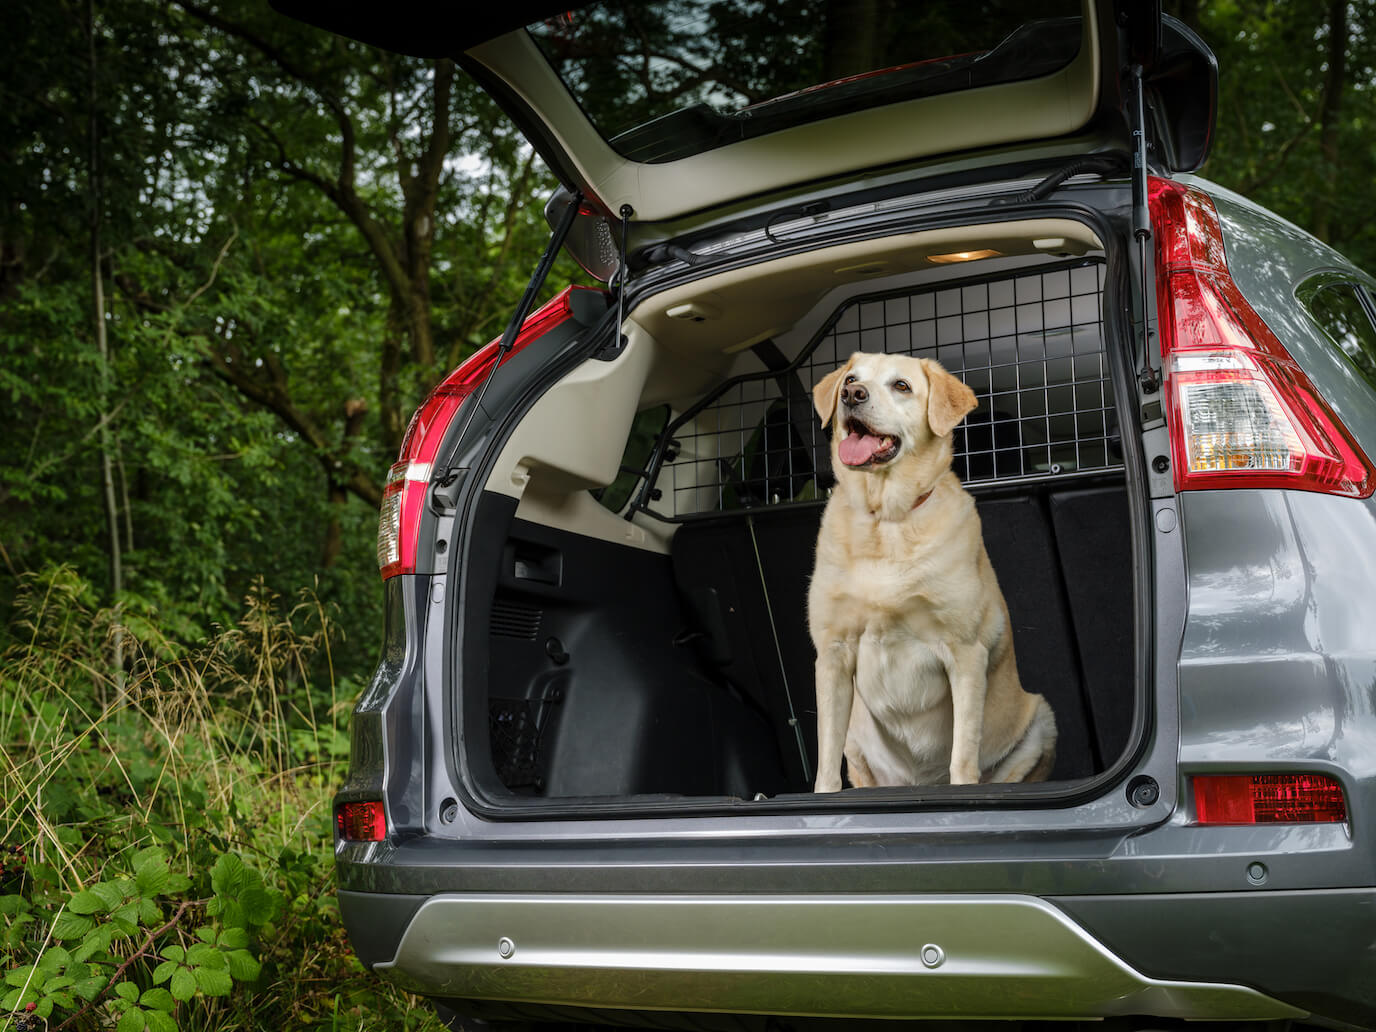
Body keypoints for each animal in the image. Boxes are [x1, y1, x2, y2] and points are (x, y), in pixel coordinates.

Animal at [803, 355, 1051, 792]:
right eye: (851, 379)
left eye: (901, 386)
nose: (852, 395)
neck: (886, 519)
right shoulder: (833, 653)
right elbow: (826, 765)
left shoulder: (965, 651)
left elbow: (963, 759)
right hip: (856, 736)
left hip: (1040, 719)